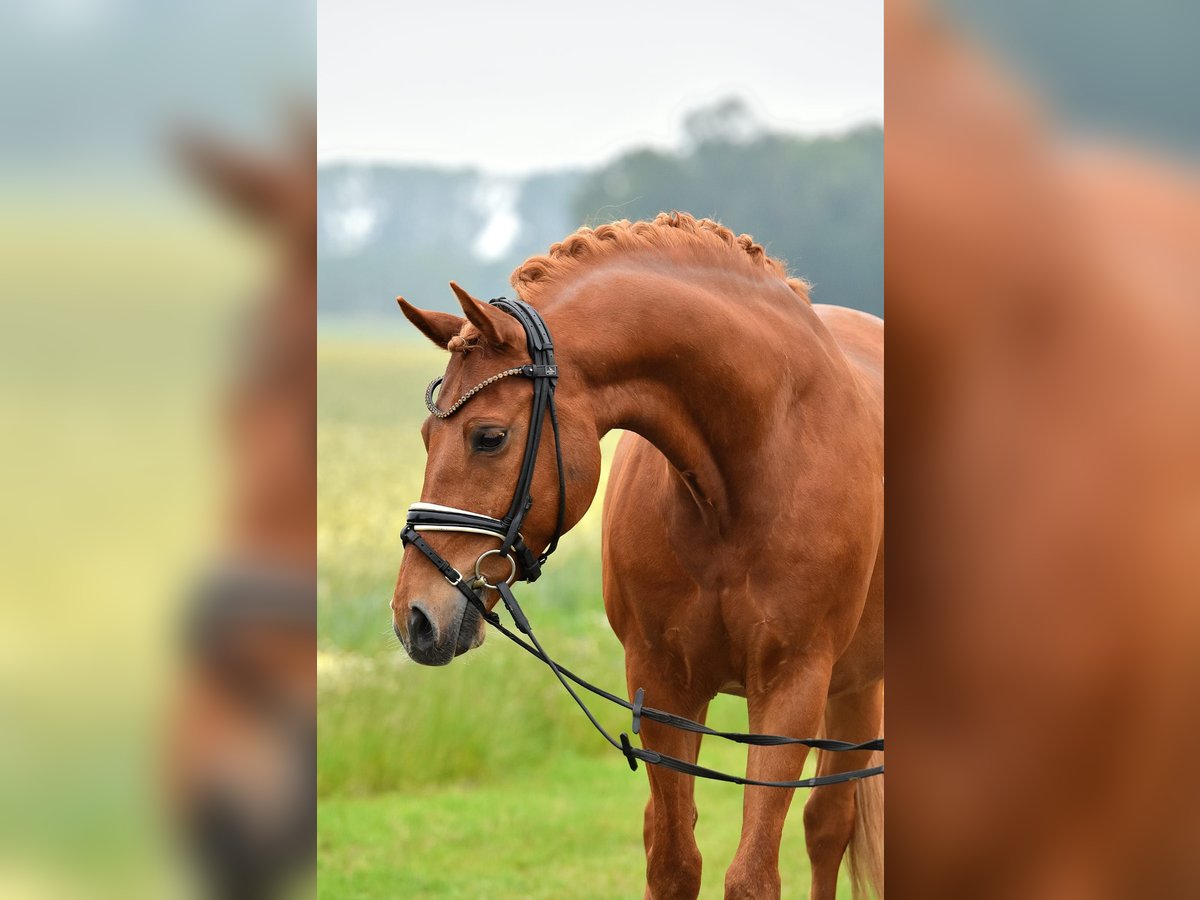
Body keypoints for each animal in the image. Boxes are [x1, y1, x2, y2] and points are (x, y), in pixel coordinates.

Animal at [392, 212, 884, 900]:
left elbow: (753, 874)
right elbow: (673, 861)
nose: (414, 616)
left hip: (856, 686)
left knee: (827, 823)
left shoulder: (792, 687)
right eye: (425, 436)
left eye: (488, 437)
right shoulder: (662, 685)